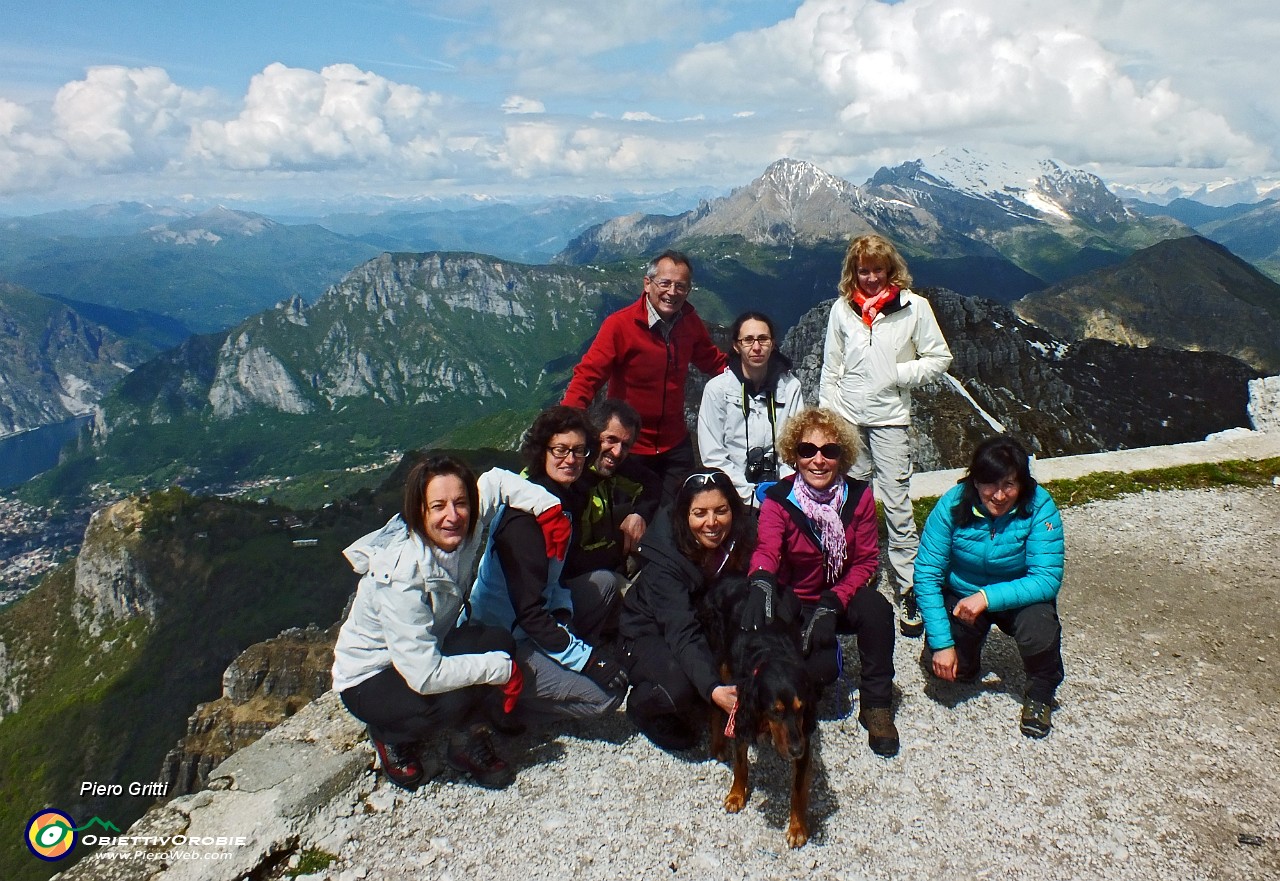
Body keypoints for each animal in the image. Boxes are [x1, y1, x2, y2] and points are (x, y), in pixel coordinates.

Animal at [701, 578, 819, 845]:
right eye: (775, 711)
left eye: (801, 709)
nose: (795, 750)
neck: (771, 654)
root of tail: (730, 580)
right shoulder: (742, 711)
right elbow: (740, 763)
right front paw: (736, 795)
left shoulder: (804, 737)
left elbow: (798, 788)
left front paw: (797, 828)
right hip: (720, 657)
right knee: (714, 705)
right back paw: (717, 746)